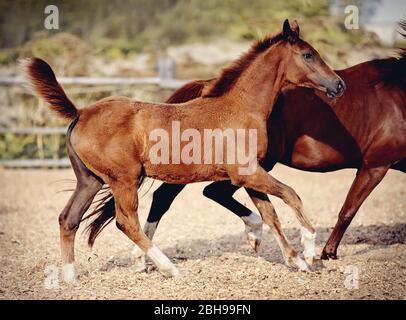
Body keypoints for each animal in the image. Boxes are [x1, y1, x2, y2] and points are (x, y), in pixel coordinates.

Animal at [25, 19, 344, 282]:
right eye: (308, 55)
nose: (339, 85)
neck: (240, 108)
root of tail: (80, 113)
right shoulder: (249, 173)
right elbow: (291, 195)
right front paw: (309, 250)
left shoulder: (251, 174)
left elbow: (269, 215)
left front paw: (292, 259)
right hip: (123, 180)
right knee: (125, 222)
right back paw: (168, 267)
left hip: (89, 181)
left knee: (68, 218)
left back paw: (70, 277)